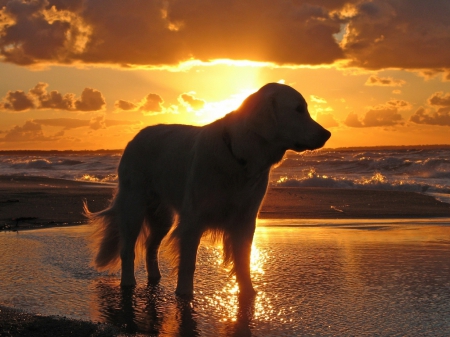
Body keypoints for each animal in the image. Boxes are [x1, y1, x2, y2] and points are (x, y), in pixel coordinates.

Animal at [84, 82, 330, 296]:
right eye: (298, 109)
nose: (327, 134)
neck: (239, 157)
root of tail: (134, 139)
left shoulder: (245, 219)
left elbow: (244, 260)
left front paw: (248, 293)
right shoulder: (193, 220)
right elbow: (188, 263)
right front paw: (184, 294)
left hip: (162, 217)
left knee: (151, 247)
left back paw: (154, 278)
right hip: (134, 207)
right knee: (128, 249)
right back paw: (128, 283)